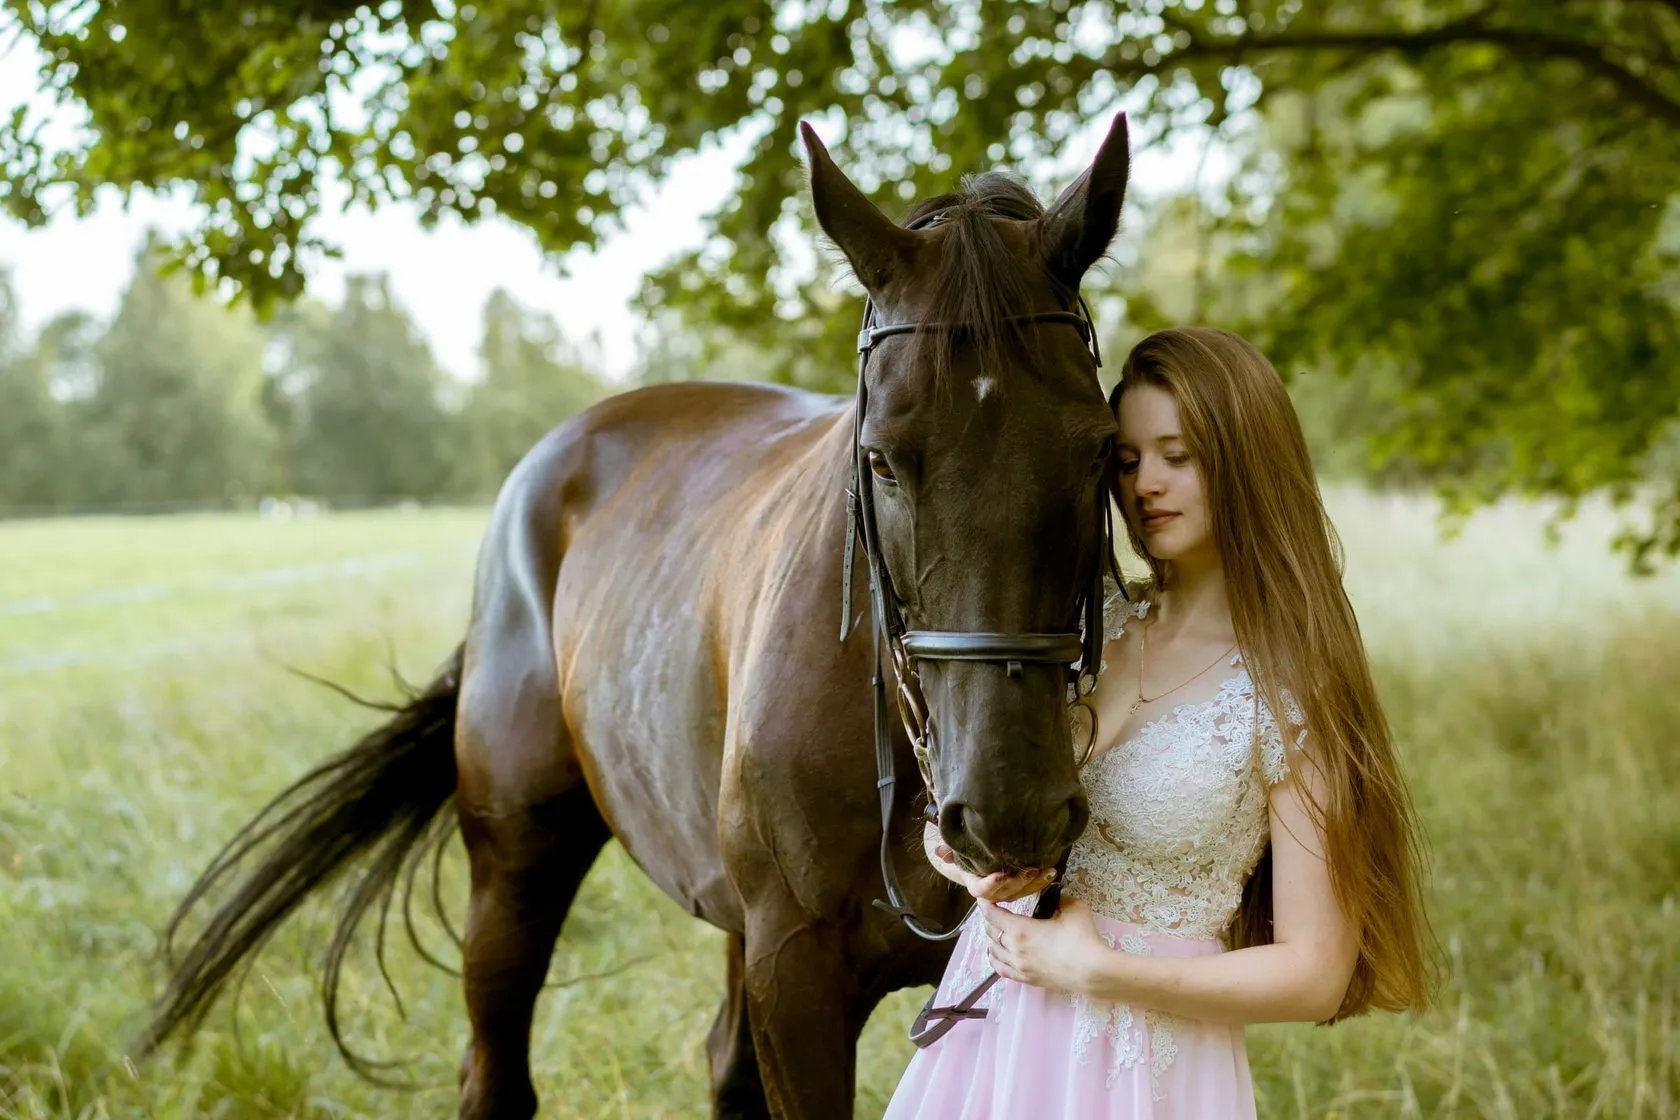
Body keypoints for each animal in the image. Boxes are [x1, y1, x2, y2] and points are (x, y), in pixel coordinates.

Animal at [134, 115, 1128, 1120]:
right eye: (883, 458)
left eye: (1101, 451)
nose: (1009, 808)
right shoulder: (795, 971)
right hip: (516, 871)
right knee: (497, 1071)